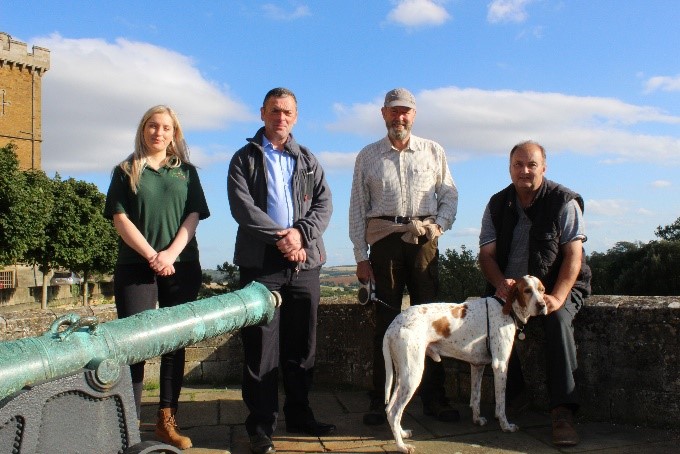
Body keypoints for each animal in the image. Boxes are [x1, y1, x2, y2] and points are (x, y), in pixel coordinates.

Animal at [382, 274, 548, 452]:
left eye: (542, 290)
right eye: (527, 290)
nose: (542, 305)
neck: (506, 307)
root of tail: (393, 325)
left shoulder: (477, 365)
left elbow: (475, 397)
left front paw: (477, 419)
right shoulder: (500, 365)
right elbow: (501, 402)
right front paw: (506, 426)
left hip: (402, 375)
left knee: (390, 408)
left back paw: (402, 433)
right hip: (413, 375)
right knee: (394, 411)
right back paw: (401, 446)